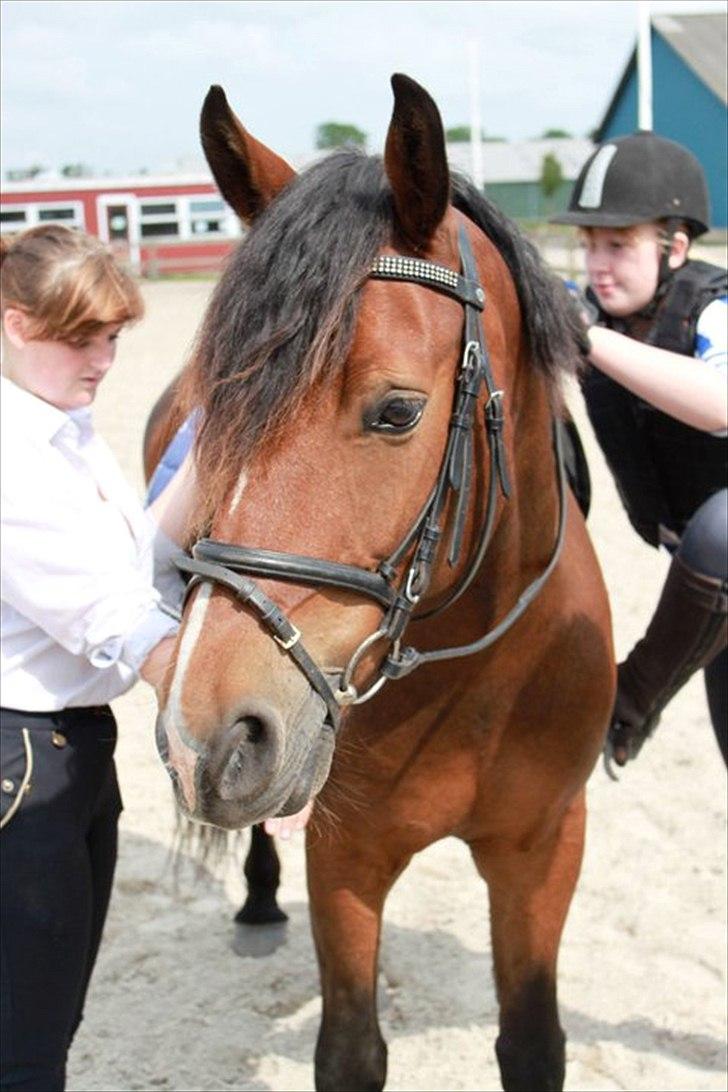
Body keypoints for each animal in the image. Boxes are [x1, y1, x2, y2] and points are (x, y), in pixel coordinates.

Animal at [152, 72, 615, 1087]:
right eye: (215, 409)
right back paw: (256, 899)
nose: (206, 742)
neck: (474, 670)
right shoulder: (346, 856)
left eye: (397, 412)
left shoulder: (543, 849)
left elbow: (533, 1040)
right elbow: (352, 1049)